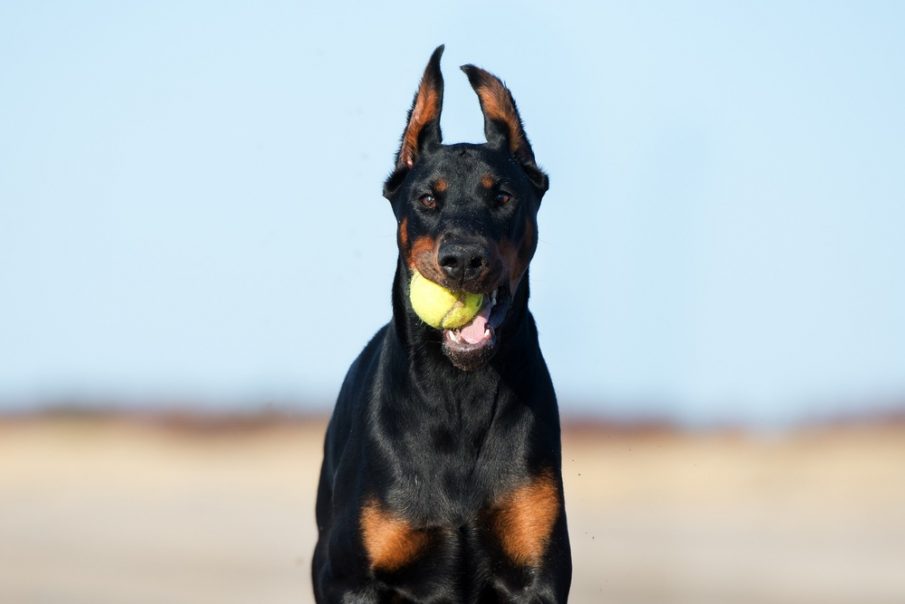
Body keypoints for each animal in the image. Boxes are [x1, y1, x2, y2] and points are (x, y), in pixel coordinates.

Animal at [314, 47, 568, 604]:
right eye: (428, 198)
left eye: (503, 196)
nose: (464, 260)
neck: (459, 393)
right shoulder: (350, 578)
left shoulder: (536, 576)